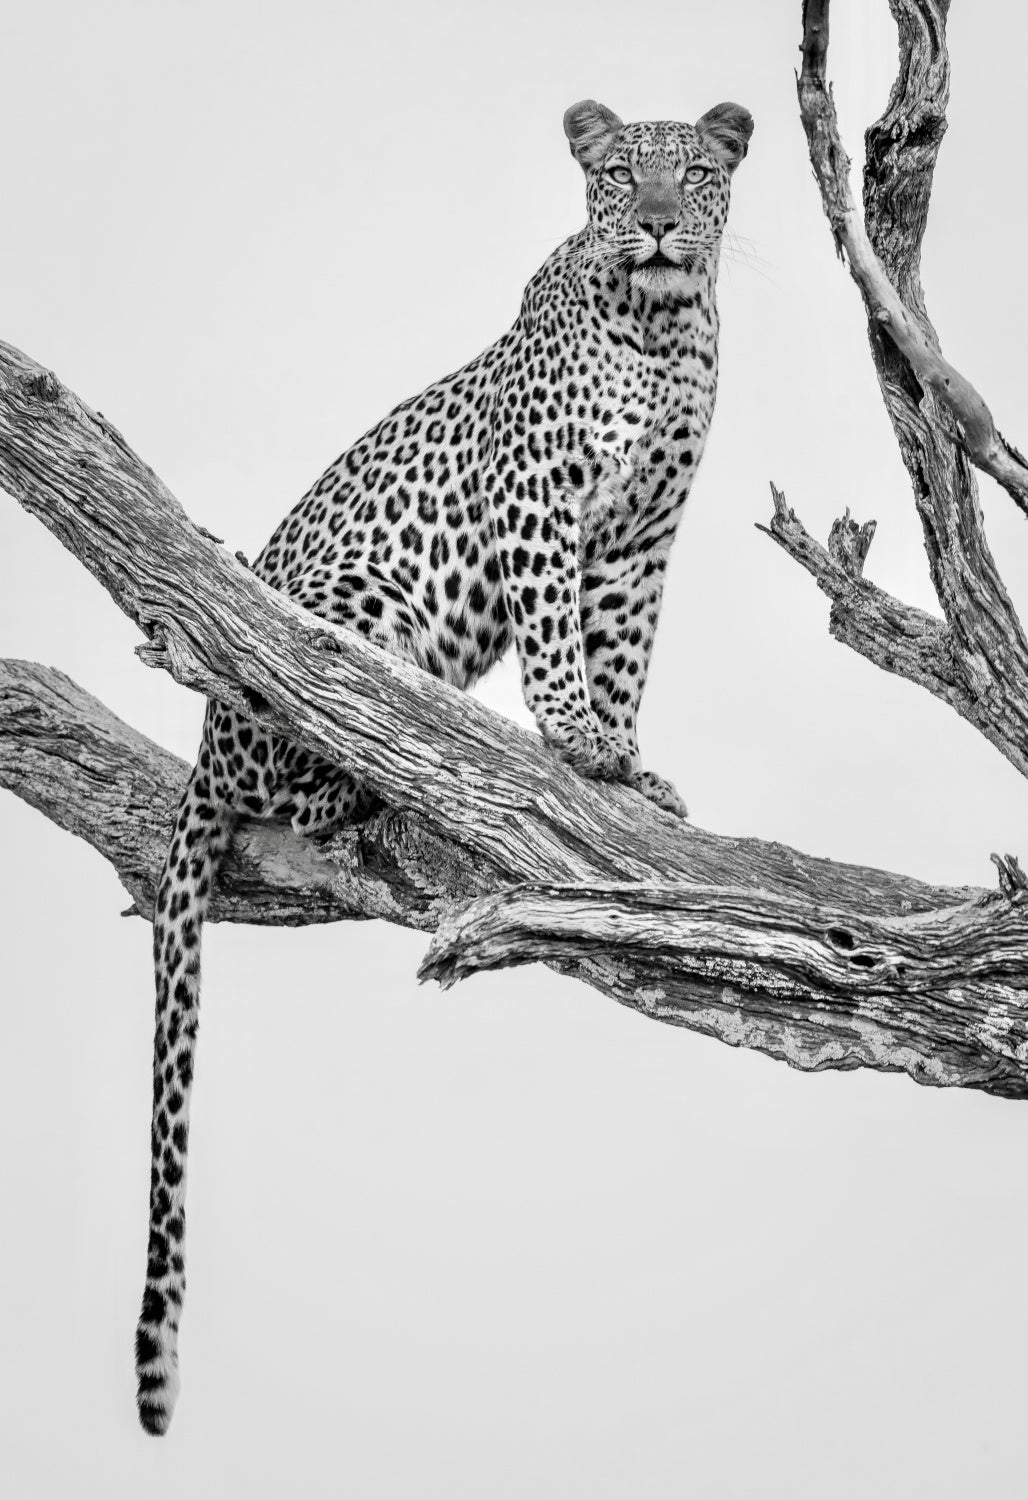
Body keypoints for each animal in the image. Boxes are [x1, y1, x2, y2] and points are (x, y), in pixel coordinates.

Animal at [134, 96, 753, 1434]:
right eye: (617, 175)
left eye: (694, 172)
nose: (655, 224)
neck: (663, 329)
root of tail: (199, 759)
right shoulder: (540, 501)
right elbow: (559, 638)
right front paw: (573, 742)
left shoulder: (640, 539)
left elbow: (622, 651)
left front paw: (625, 768)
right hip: (344, 613)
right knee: (309, 736)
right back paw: (369, 766)